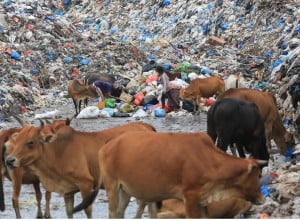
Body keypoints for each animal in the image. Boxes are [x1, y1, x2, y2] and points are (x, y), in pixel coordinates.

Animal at [4, 121, 156, 218]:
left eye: (31, 142)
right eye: (16, 141)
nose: (9, 160)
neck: (58, 152)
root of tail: (146, 126)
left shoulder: (86, 184)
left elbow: (87, 210)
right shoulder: (68, 190)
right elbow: (69, 212)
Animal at [74, 130, 264, 218]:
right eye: (257, 176)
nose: (262, 199)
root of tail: (108, 145)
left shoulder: (202, 201)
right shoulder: (190, 197)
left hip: (125, 191)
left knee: (121, 213)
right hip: (112, 187)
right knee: (113, 213)